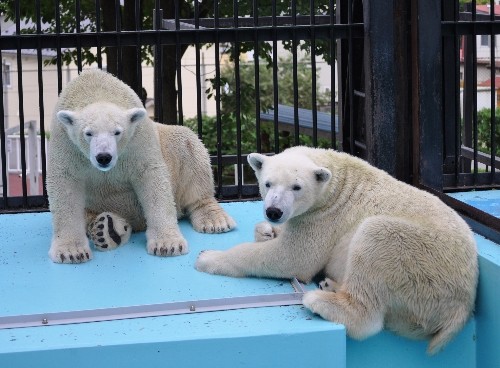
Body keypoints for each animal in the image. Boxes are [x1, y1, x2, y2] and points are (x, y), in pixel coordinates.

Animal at [47, 69, 234, 264]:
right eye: (88, 133)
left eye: (117, 132)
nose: (104, 157)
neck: (96, 90)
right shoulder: (66, 143)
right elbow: (65, 185)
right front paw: (71, 252)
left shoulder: (138, 137)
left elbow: (151, 176)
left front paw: (168, 245)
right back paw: (105, 229)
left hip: (170, 146)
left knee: (187, 146)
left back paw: (214, 220)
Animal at [194, 146, 476, 354]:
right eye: (268, 183)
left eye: (296, 187)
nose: (274, 211)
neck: (337, 181)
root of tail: (461, 307)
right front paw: (266, 231)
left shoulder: (323, 218)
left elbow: (293, 257)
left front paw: (208, 257)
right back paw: (330, 285)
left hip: (421, 261)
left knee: (376, 237)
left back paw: (319, 300)